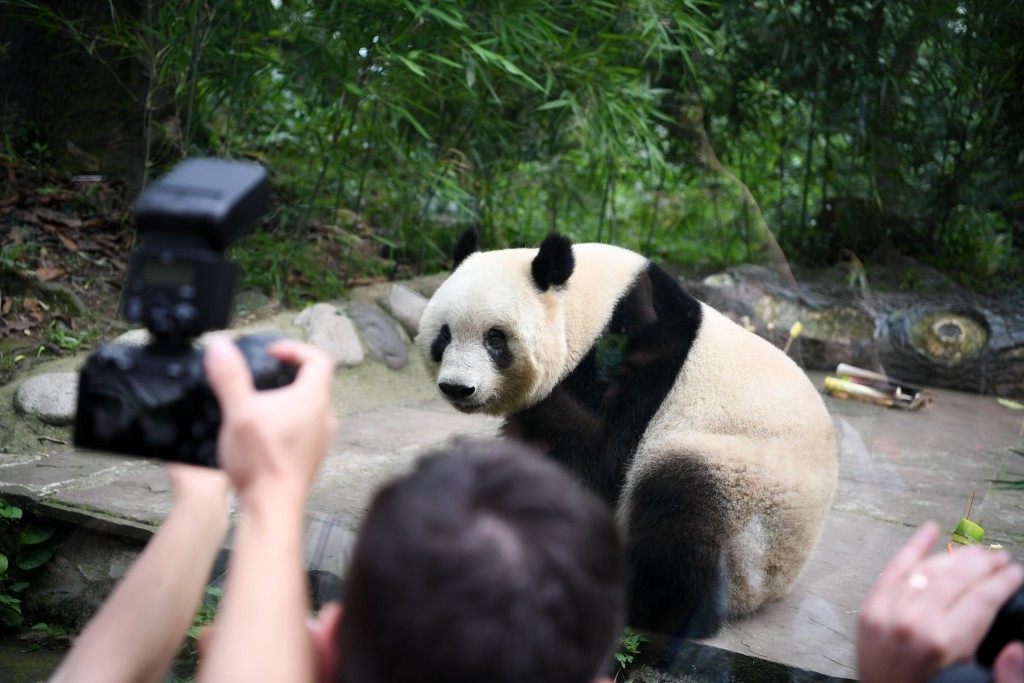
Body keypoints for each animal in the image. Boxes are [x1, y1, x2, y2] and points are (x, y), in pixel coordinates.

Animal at [415, 229, 839, 634]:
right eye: (444, 336)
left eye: (495, 339)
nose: (457, 388)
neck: (592, 307)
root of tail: (772, 588)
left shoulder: (628, 359)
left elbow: (589, 458)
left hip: (752, 489)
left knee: (684, 506)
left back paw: (642, 603)